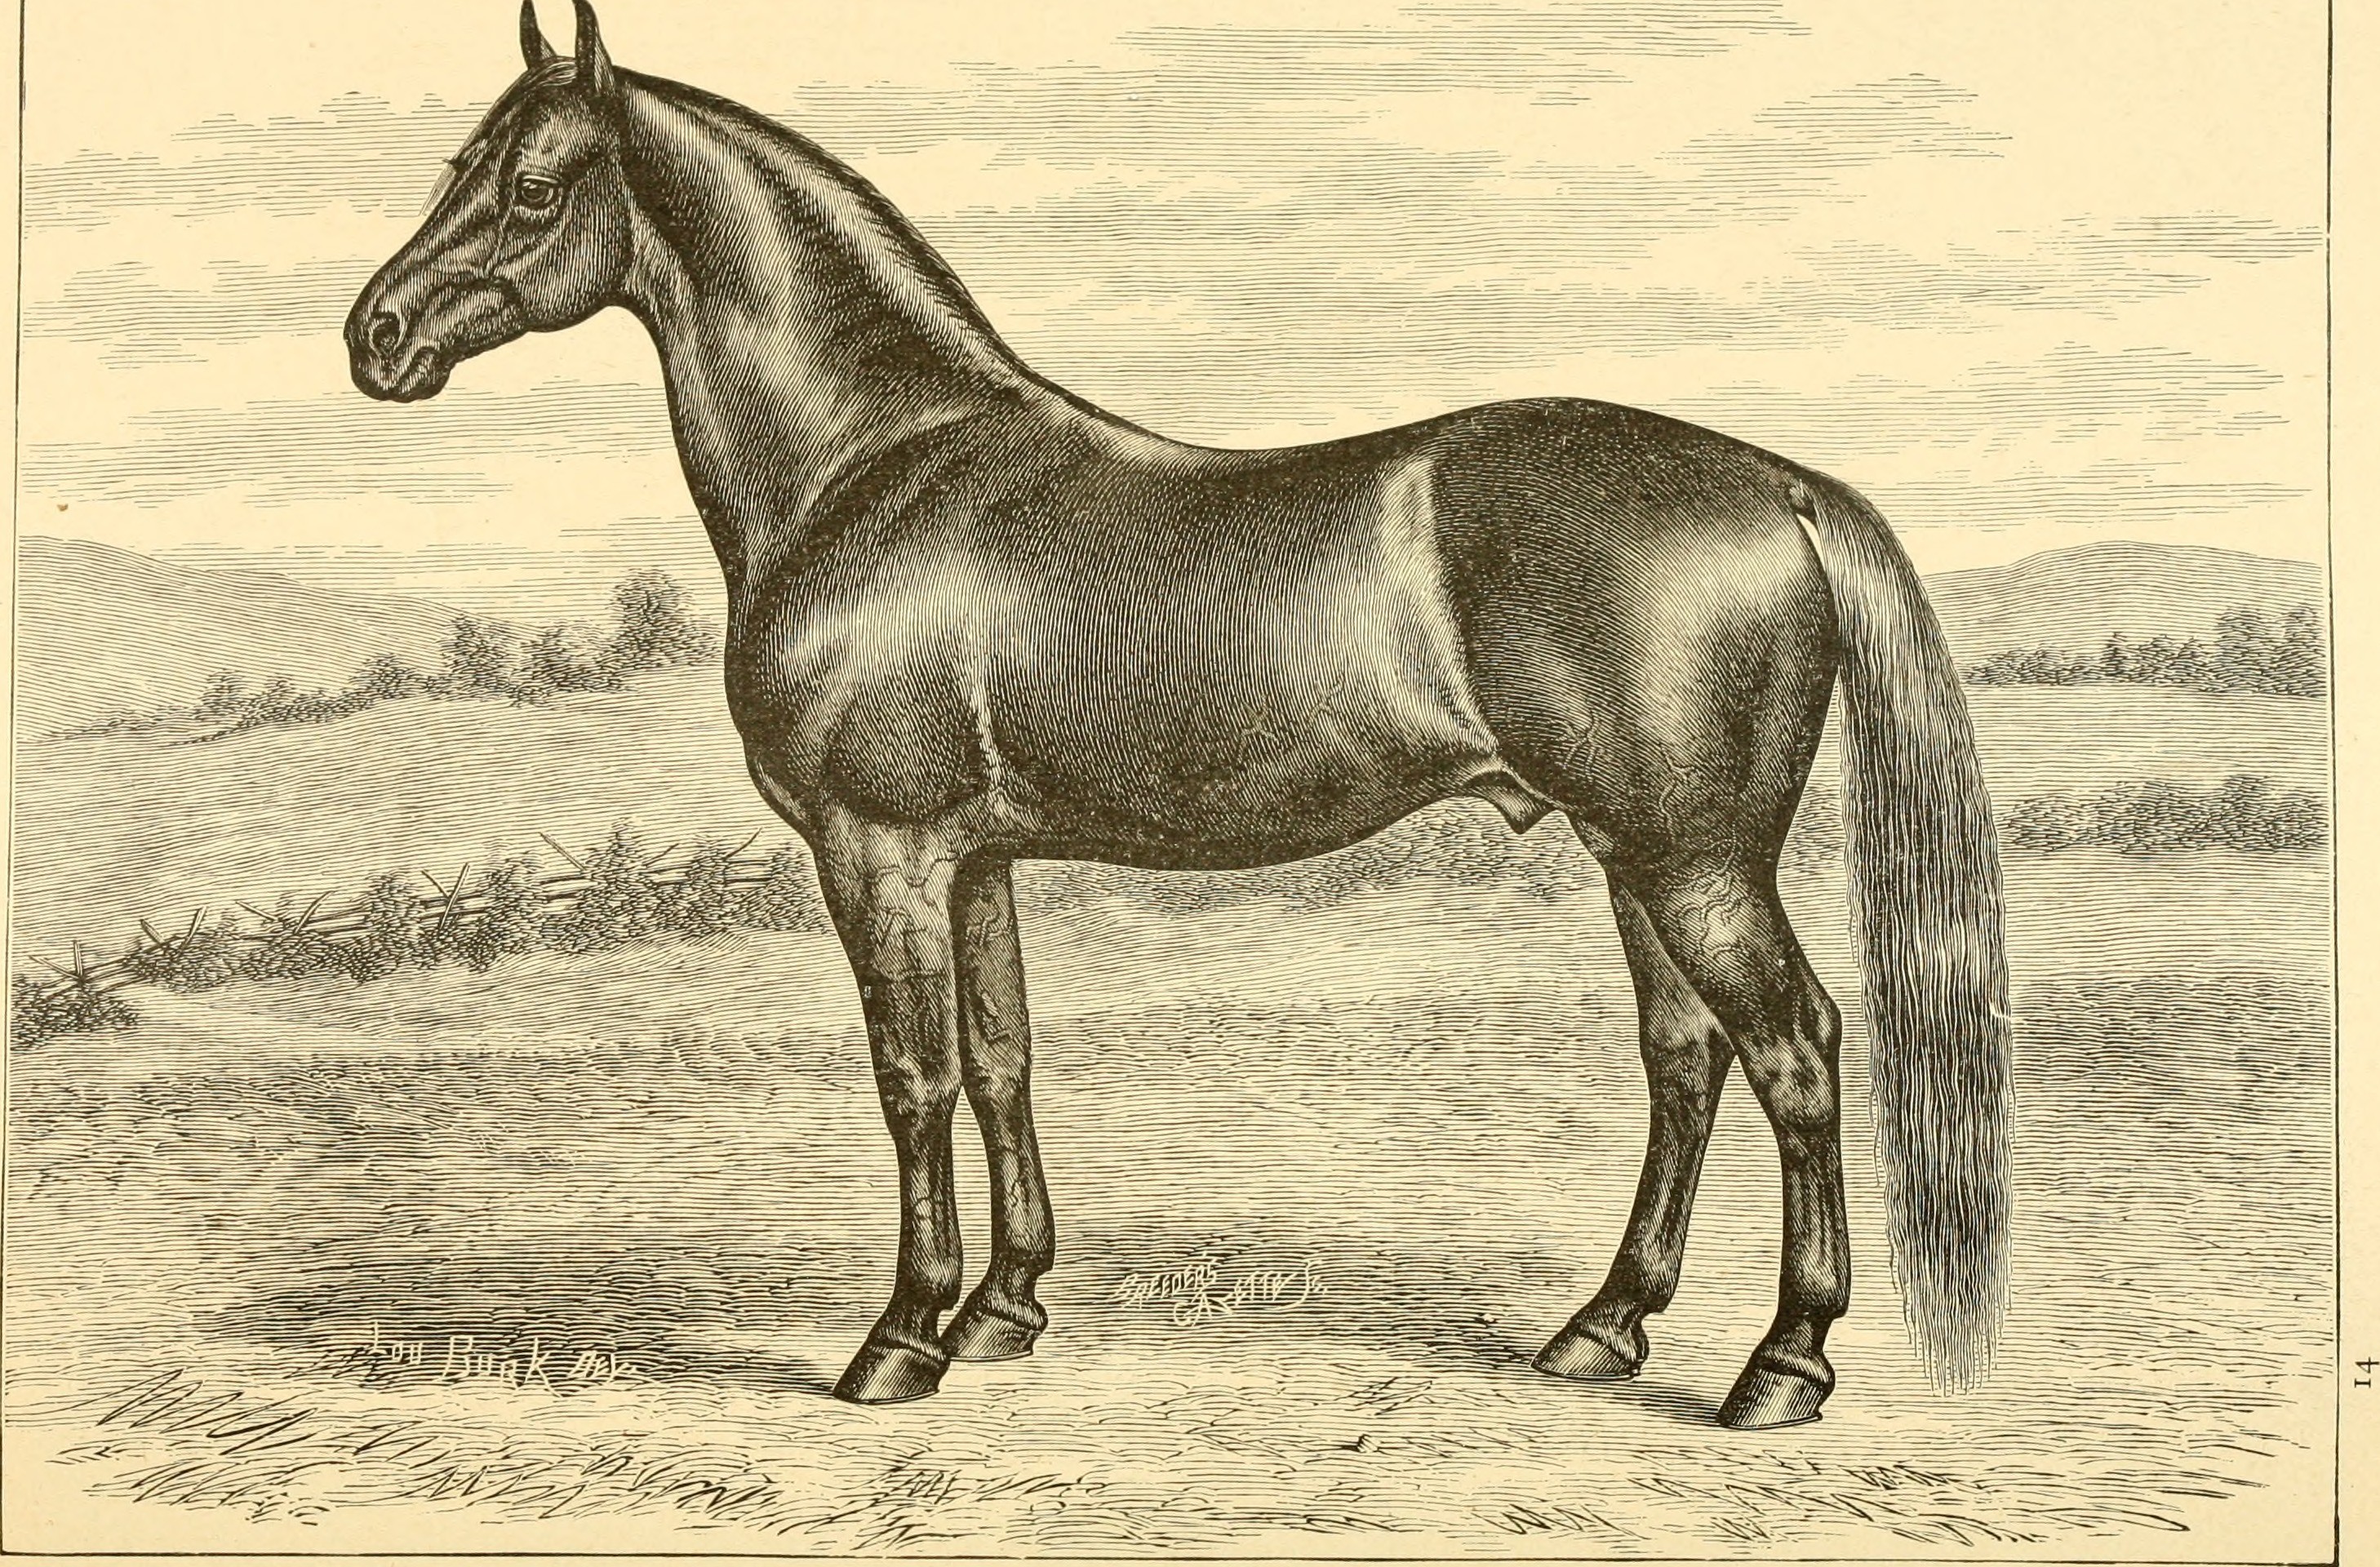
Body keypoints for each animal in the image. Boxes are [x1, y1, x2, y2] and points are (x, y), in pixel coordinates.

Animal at [347, 1, 2010, 1430]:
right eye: (458, 168)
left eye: (533, 186)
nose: (377, 336)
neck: (876, 464)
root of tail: (1776, 485)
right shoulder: (974, 860)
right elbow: (1003, 1059)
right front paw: (1002, 1310)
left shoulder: (878, 851)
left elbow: (912, 1081)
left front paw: (900, 1338)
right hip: (1634, 858)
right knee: (1684, 1059)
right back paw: (1603, 1328)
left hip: (1694, 860)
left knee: (1795, 1051)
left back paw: (1782, 1364)